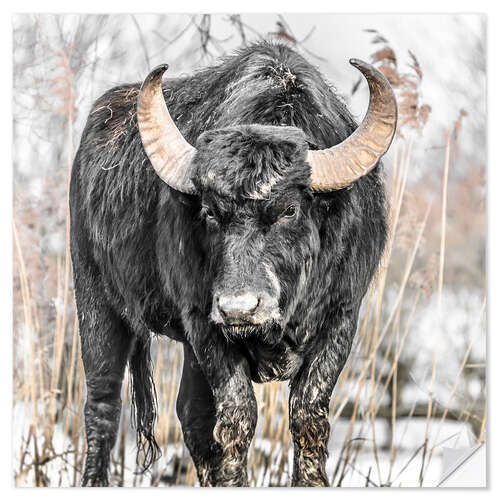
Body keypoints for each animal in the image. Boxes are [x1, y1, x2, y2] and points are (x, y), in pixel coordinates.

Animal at [70, 41, 396, 486]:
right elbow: (237, 418)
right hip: (95, 303)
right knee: (103, 404)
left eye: (290, 209)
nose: (239, 308)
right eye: (209, 212)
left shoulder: (342, 317)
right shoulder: (204, 324)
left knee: (190, 413)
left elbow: (308, 415)